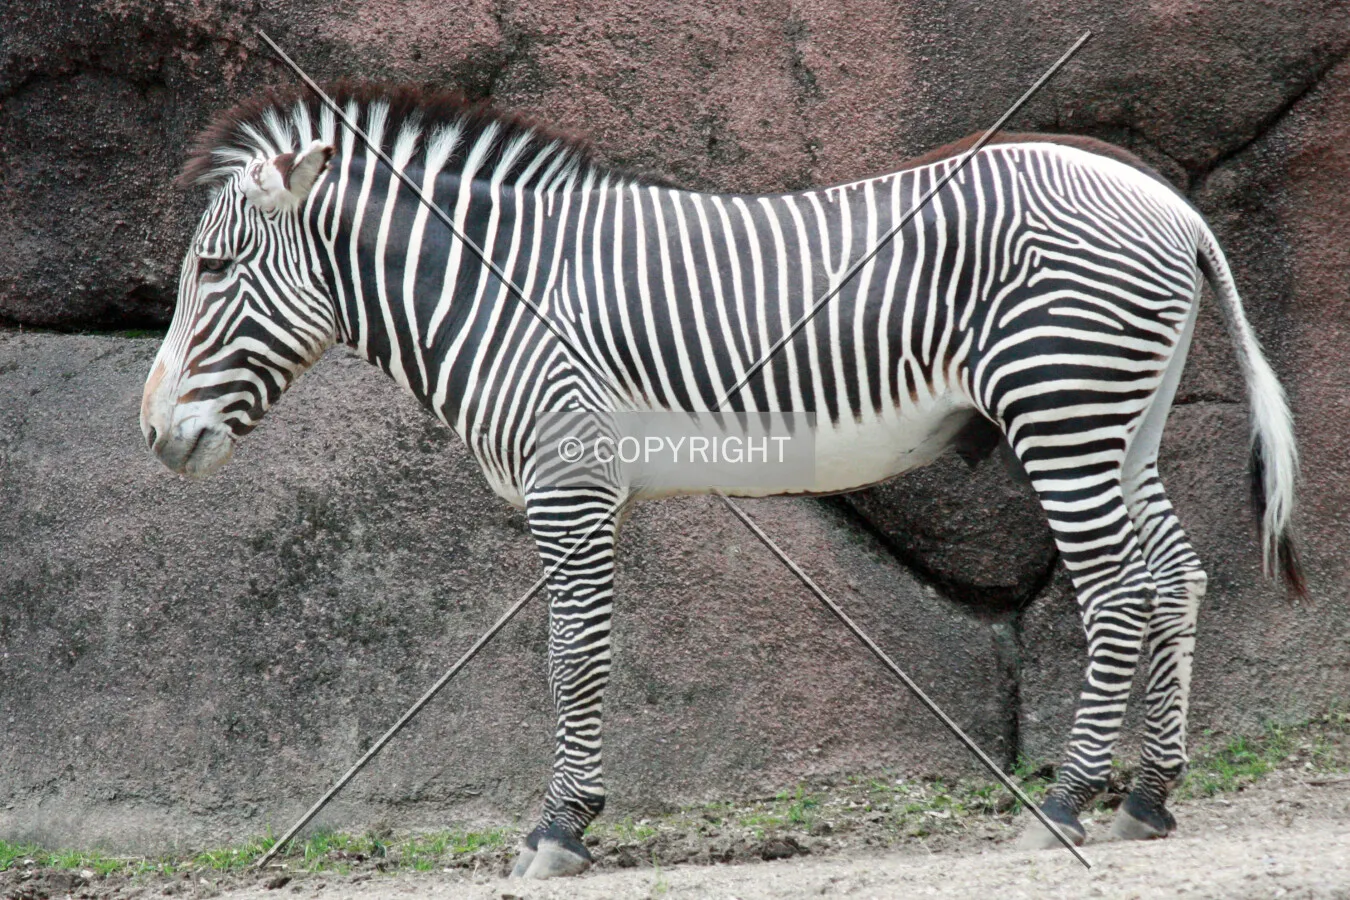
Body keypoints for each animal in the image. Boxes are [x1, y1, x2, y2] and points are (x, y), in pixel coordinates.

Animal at [140, 83, 1302, 878]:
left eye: (213, 271)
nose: (151, 433)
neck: (501, 291)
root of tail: (1170, 205)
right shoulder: (589, 488)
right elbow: (586, 657)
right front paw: (572, 818)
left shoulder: (570, 480)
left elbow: (572, 659)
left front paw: (558, 828)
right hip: (1121, 418)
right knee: (1177, 576)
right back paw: (1148, 797)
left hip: (1062, 404)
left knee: (1118, 591)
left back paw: (1066, 801)